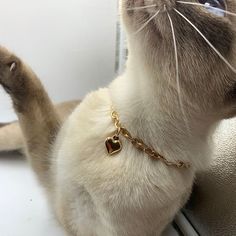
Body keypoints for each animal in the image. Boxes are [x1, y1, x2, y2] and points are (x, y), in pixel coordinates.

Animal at [0, 0, 236, 235]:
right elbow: (32, 91)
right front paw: (4, 59)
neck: (129, 134)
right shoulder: (50, 165)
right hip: (19, 138)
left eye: (212, 5)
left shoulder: (67, 208)